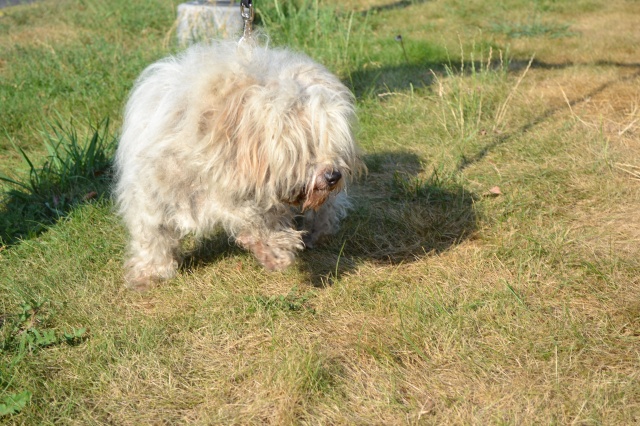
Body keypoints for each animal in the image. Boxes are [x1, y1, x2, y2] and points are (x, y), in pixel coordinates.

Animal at [114, 40, 362, 290]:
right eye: (303, 148)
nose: (333, 176)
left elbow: (258, 215)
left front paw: (274, 249)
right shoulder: (153, 192)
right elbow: (153, 233)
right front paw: (149, 273)